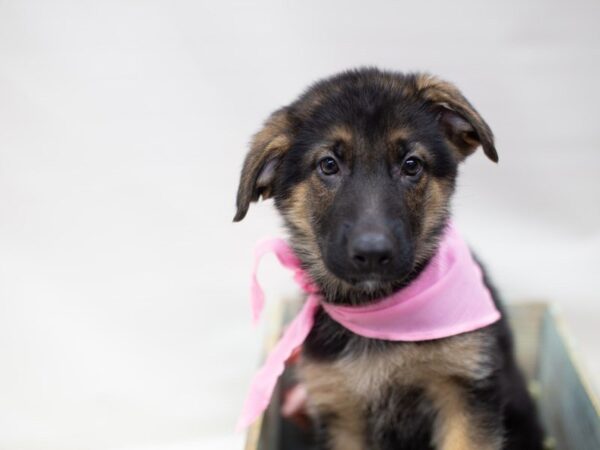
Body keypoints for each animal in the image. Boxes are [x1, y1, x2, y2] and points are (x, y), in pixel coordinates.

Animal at [234, 68, 544, 450]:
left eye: (411, 164)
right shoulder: (340, 410)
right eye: (328, 165)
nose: (372, 253)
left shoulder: (465, 392)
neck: (379, 312)